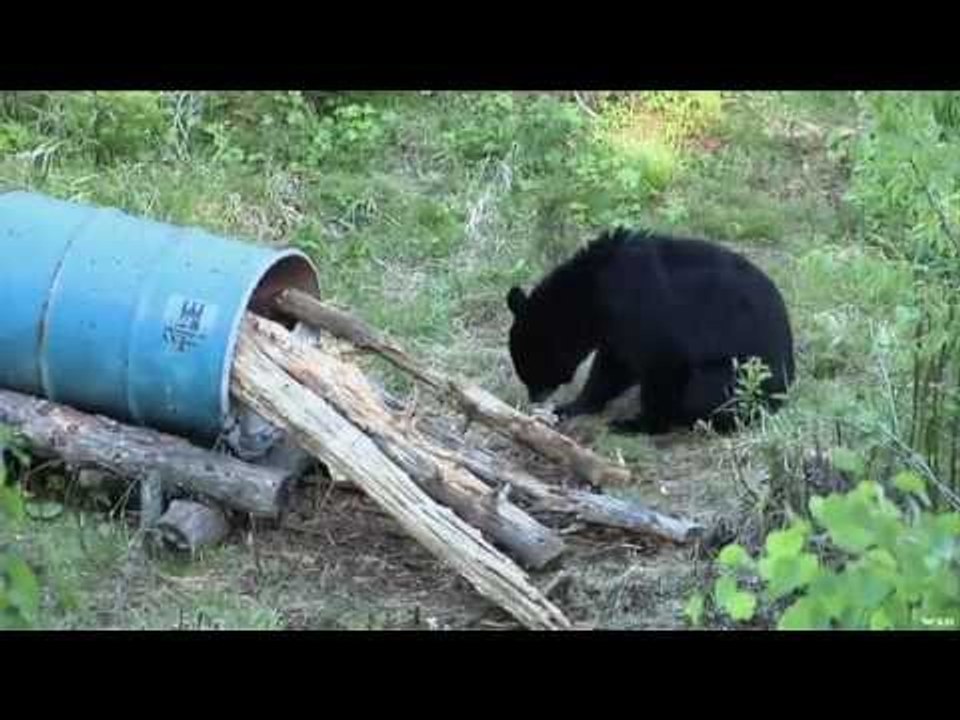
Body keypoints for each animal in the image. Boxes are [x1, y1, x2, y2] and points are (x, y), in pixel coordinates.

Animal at [505, 227, 795, 435]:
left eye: (533, 368)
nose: (534, 397)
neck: (595, 292)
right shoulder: (615, 329)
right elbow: (612, 367)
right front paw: (571, 406)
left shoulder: (645, 314)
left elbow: (658, 365)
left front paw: (636, 424)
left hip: (739, 374)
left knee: (705, 391)